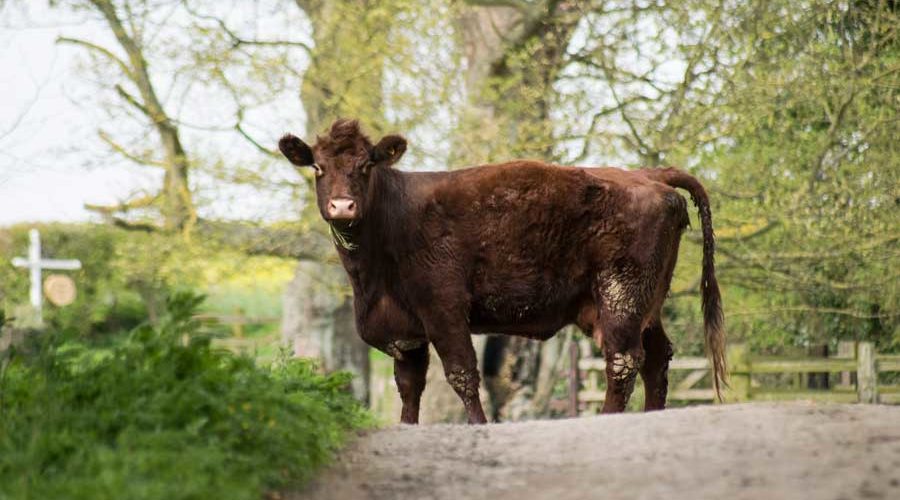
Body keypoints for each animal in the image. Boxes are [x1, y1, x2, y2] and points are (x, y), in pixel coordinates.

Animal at [280, 119, 724, 424]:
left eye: (366, 165)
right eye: (318, 167)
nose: (342, 205)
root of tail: (647, 174)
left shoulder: (443, 308)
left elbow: (462, 374)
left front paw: (479, 425)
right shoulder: (406, 332)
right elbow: (408, 387)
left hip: (621, 297)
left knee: (623, 360)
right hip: (647, 302)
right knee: (657, 358)